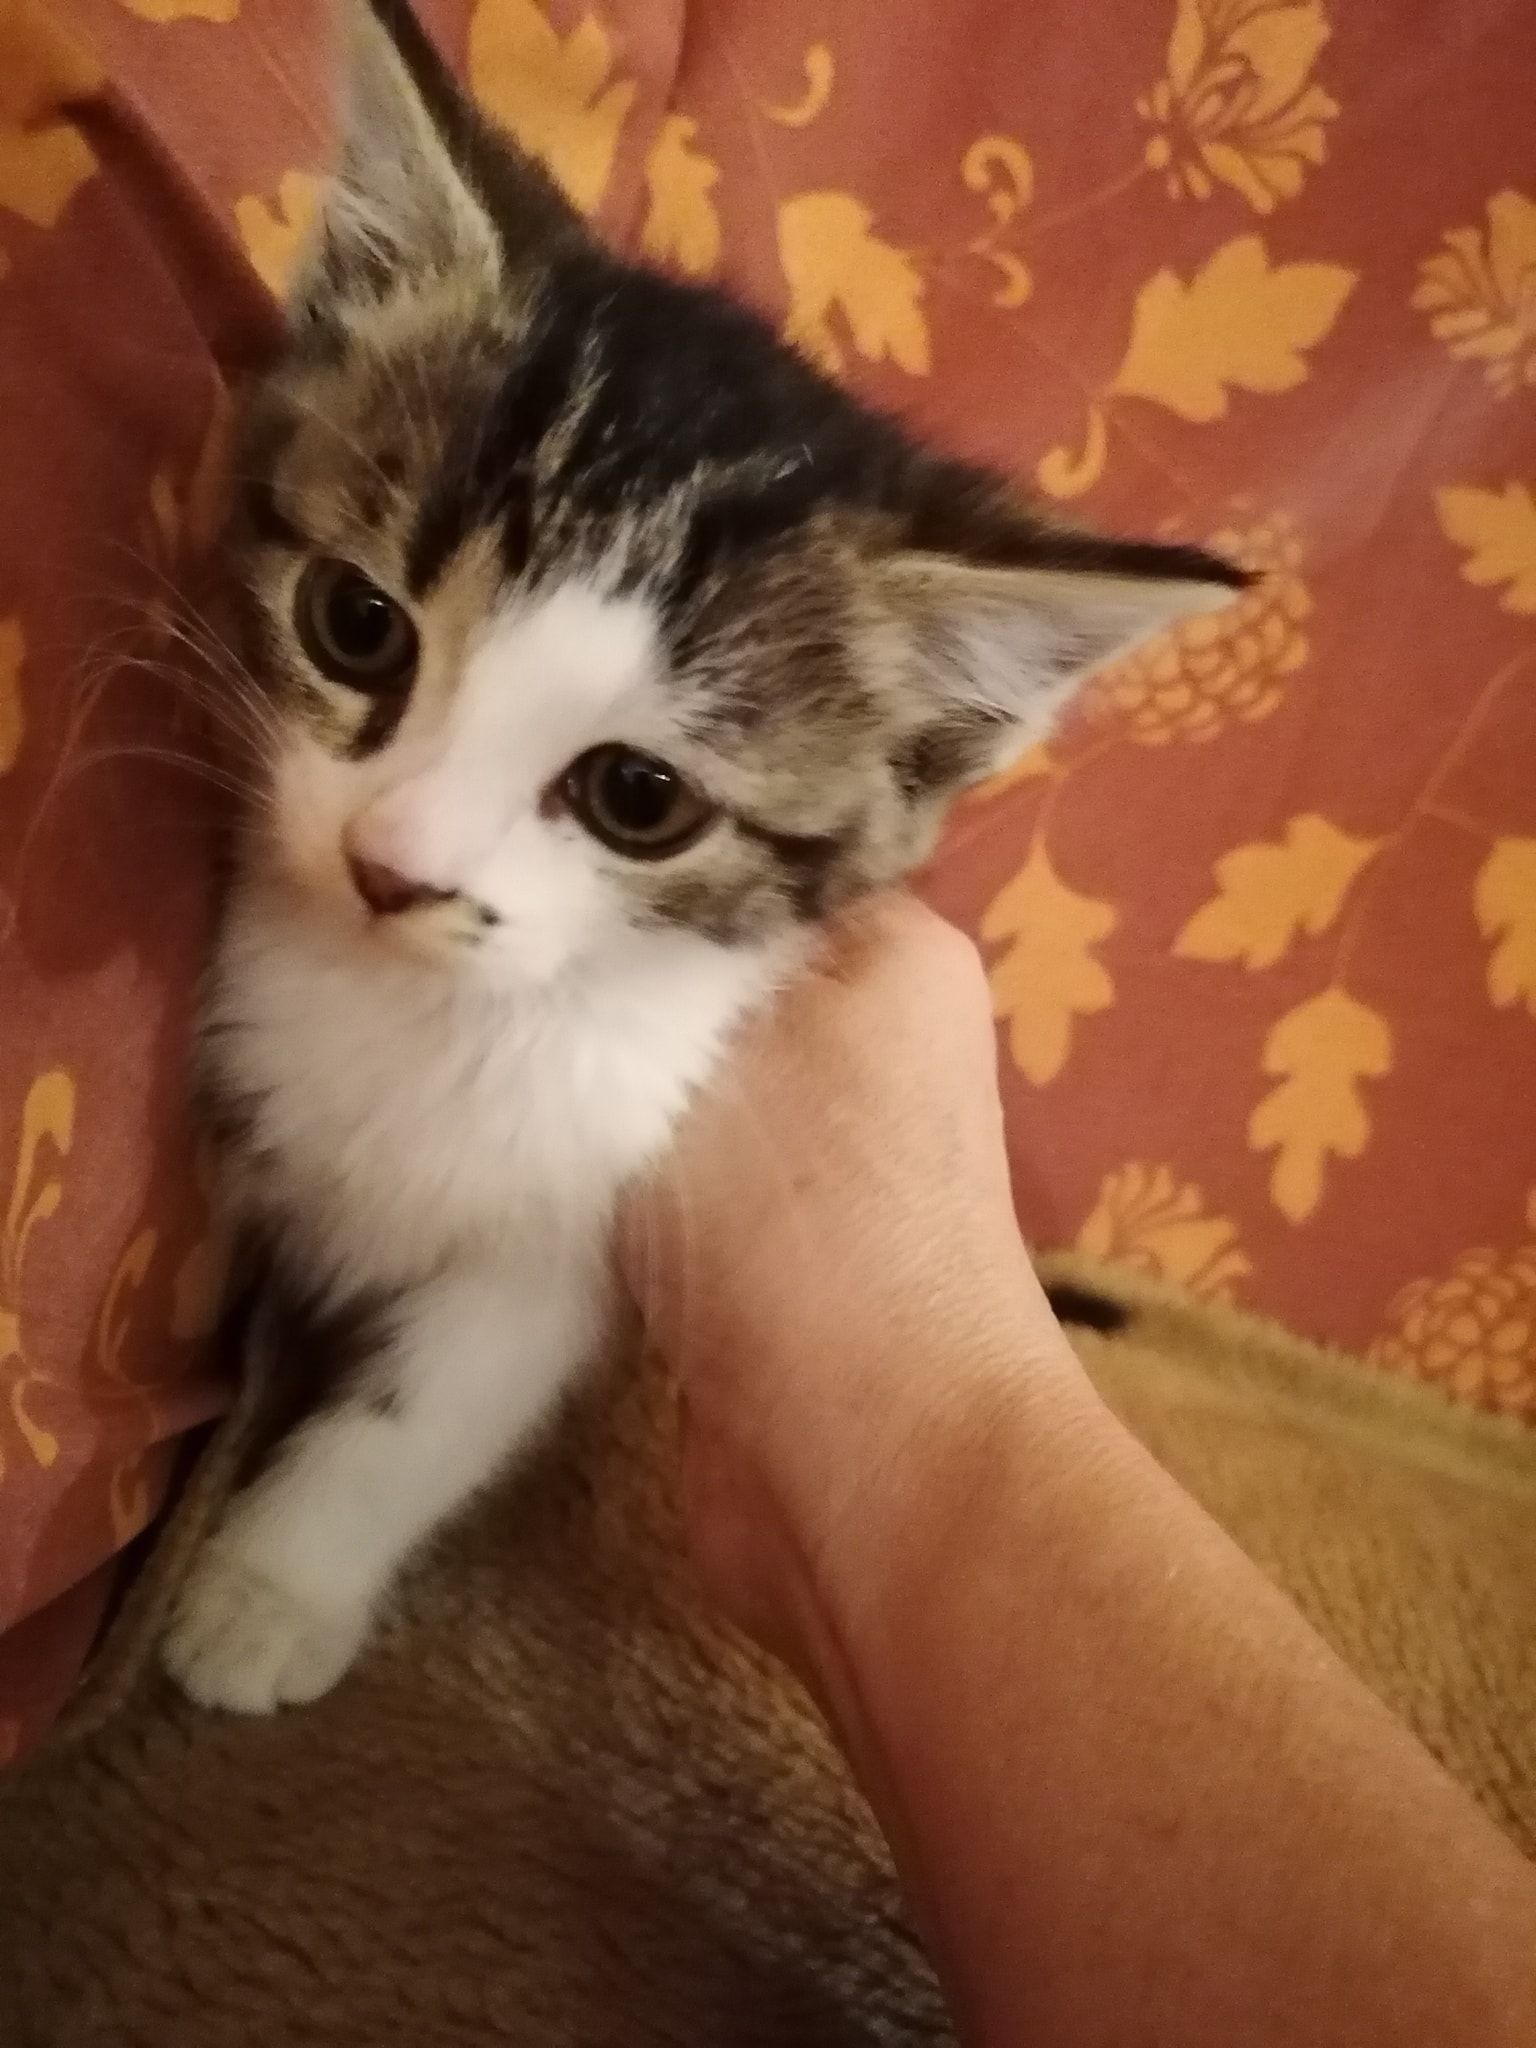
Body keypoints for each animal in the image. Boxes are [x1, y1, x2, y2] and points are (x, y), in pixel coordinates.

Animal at [162, 0, 1243, 1713]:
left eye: (637, 798)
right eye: (355, 625)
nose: (394, 867)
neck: (422, 1017)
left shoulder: (577, 1242)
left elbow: (426, 1413)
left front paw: (272, 1589)